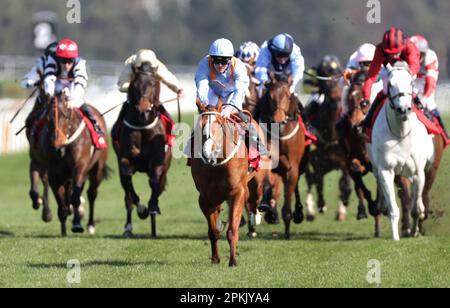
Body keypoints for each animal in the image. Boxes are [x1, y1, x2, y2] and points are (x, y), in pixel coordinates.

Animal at [33, 91, 109, 236]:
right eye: (48, 118)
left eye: (65, 115)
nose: (57, 146)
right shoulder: (54, 173)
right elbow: (61, 201)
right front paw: (63, 229)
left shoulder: (79, 167)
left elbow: (75, 198)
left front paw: (77, 225)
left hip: (97, 168)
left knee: (91, 193)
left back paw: (90, 224)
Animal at [111, 70, 171, 238]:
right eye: (135, 84)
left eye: (153, 83)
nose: (143, 111)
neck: (142, 125)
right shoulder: (125, 159)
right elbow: (129, 186)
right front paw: (142, 210)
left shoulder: (158, 161)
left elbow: (155, 181)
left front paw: (152, 207)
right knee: (127, 195)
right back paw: (128, 228)